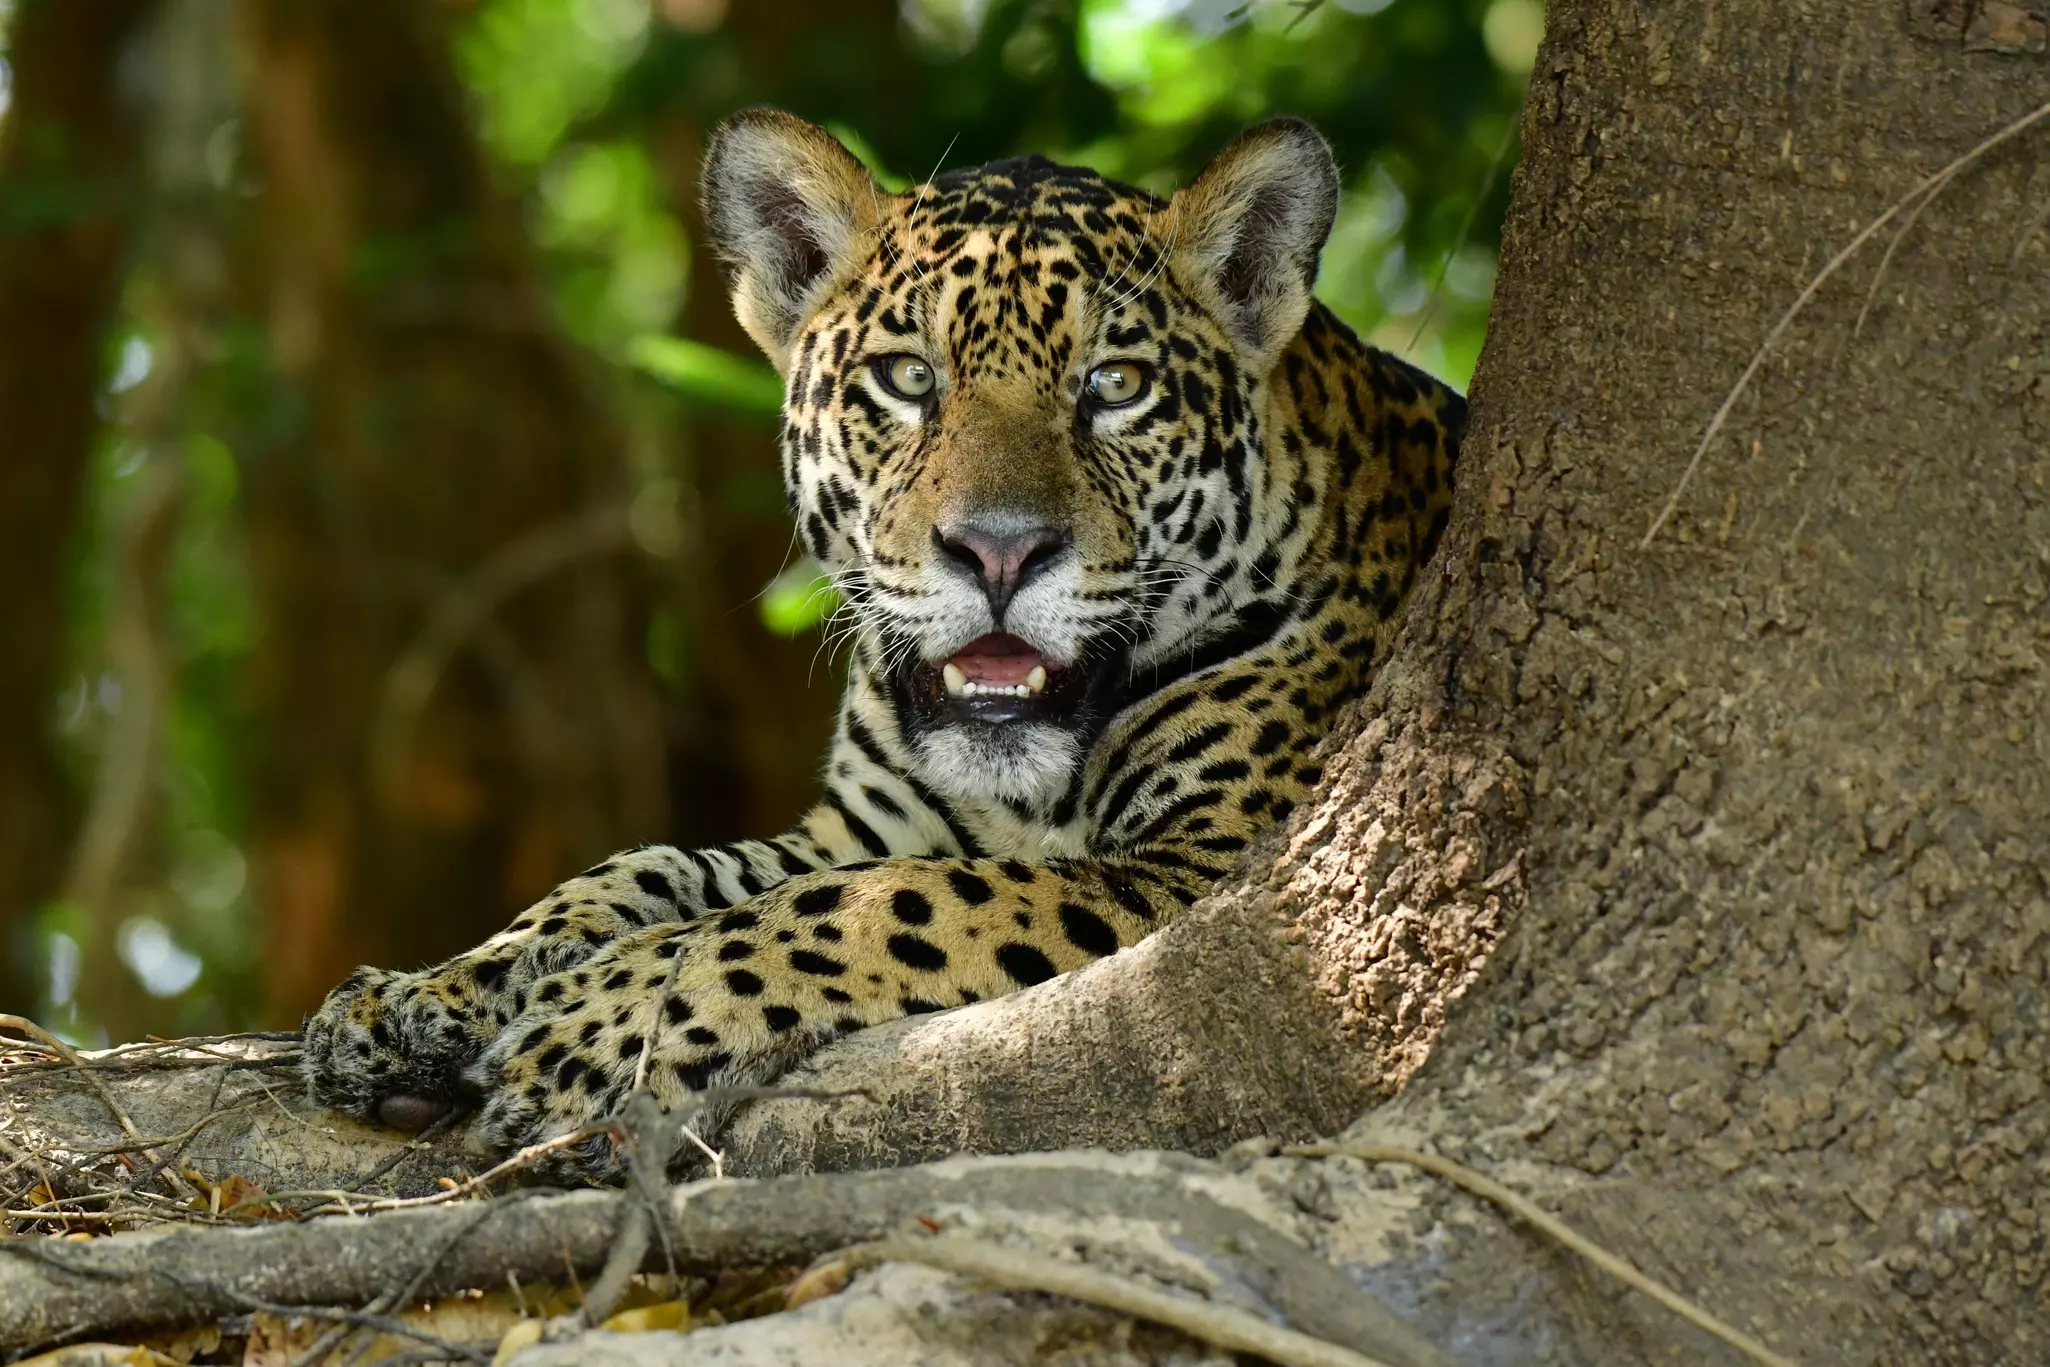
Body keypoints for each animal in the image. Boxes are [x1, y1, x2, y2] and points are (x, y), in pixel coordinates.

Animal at [301, 108, 1465, 1179]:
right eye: (908, 379)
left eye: (1116, 388)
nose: (999, 551)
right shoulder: (861, 822)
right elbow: (663, 866)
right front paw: (429, 991)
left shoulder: (1213, 862)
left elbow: (876, 904)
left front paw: (596, 1027)